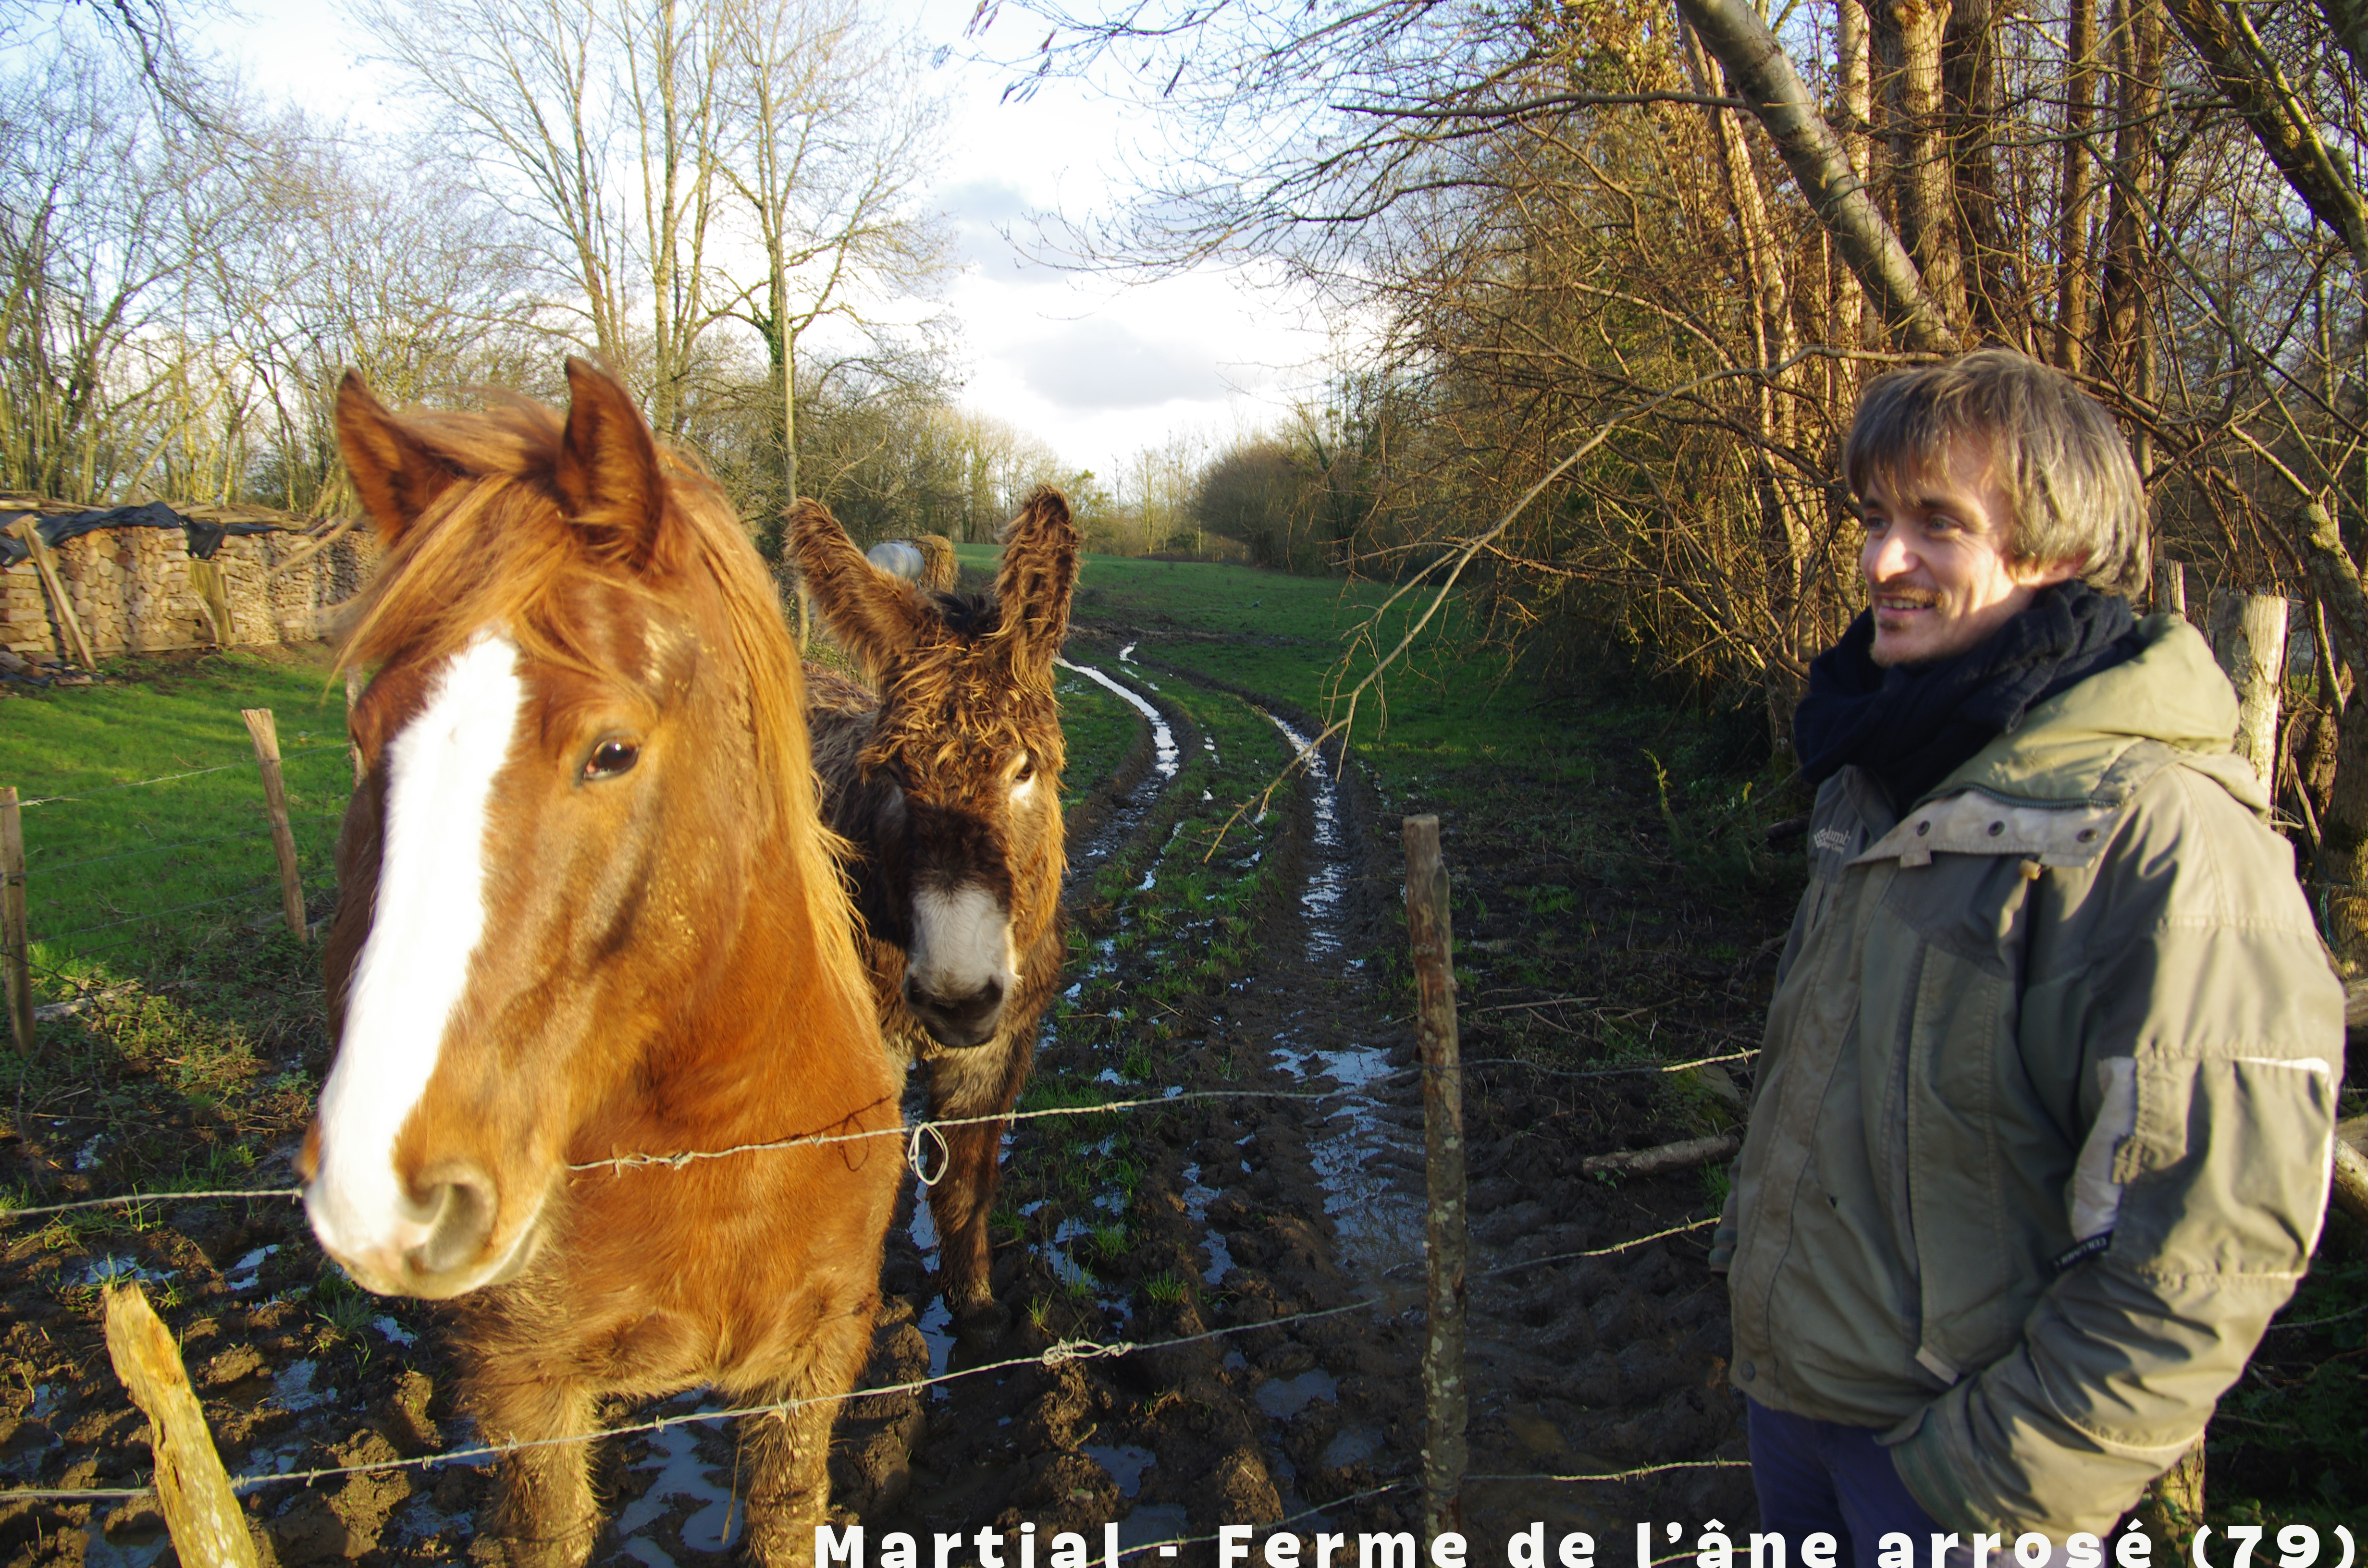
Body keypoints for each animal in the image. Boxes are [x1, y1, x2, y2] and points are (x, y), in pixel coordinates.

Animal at [310, 362, 900, 1563]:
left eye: (612, 752)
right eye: (366, 738)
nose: (380, 1192)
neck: (718, 1142)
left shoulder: (813, 1370)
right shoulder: (525, 1392)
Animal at [790, 492, 1080, 1326]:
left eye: (1025, 769)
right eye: (890, 774)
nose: (955, 997)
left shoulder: (998, 1050)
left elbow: (965, 1191)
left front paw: (975, 1310)